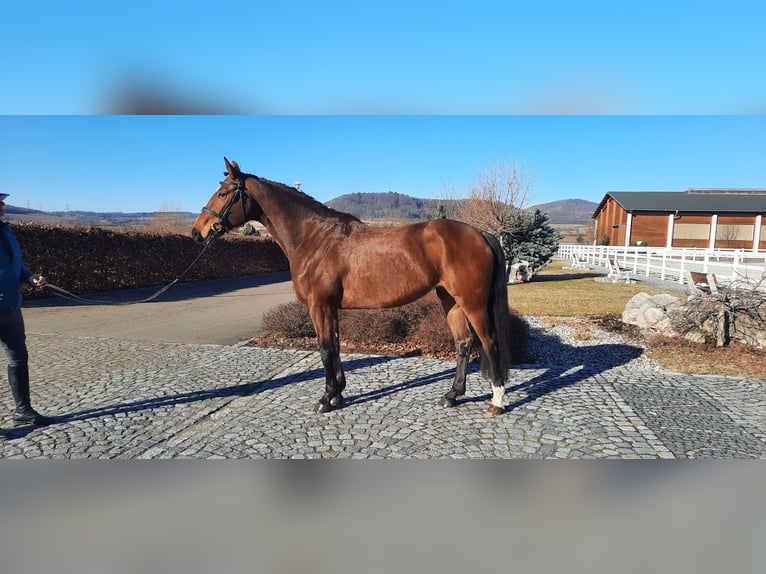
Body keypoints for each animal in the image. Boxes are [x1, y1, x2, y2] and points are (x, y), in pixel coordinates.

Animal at [194, 160, 516, 416]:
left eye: (223, 193)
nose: (198, 232)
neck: (316, 239)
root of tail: (480, 233)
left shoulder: (319, 306)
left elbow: (325, 349)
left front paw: (325, 399)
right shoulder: (330, 308)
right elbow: (335, 347)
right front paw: (338, 394)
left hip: (472, 302)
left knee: (490, 342)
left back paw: (497, 401)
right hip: (450, 300)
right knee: (464, 343)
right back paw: (452, 395)